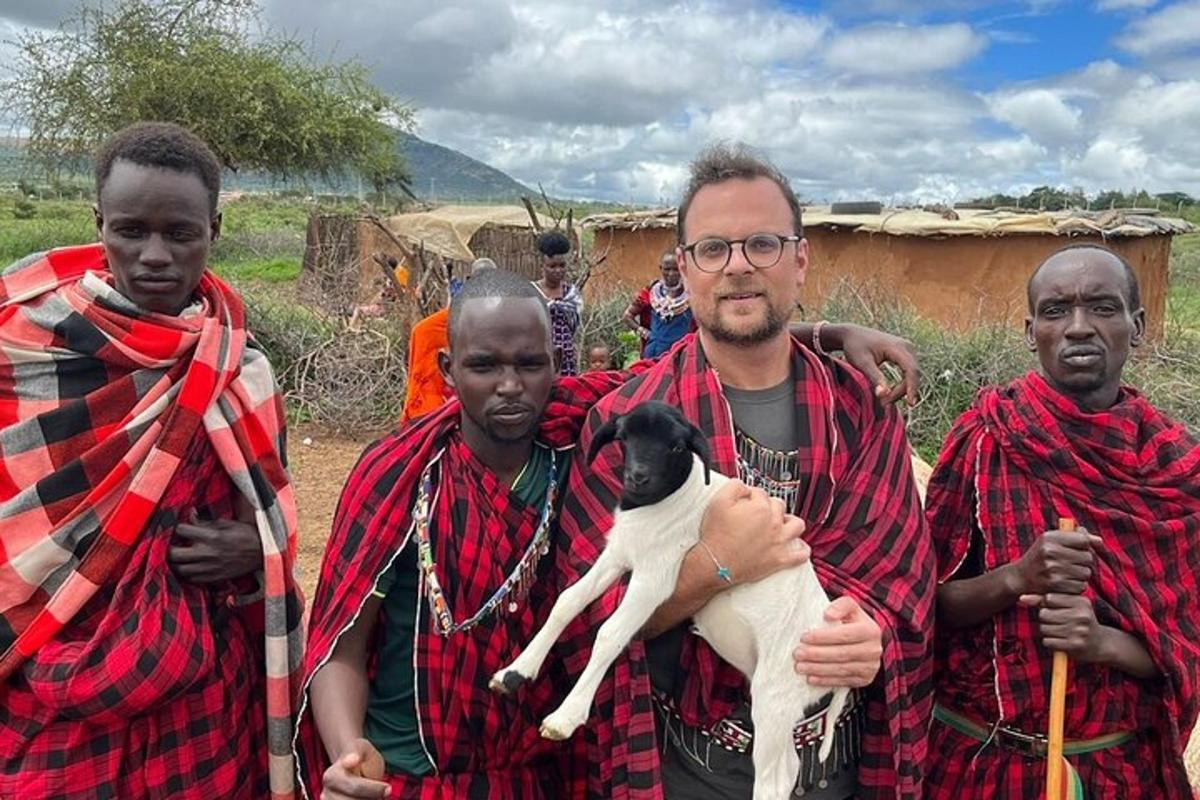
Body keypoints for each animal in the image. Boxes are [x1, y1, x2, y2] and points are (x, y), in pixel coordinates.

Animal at [492, 402, 849, 796]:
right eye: (624, 437)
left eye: (677, 446)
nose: (638, 477)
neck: (671, 502)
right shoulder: (618, 554)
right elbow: (567, 602)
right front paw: (515, 672)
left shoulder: (654, 579)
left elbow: (610, 633)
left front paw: (565, 717)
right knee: (789, 766)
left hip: (776, 691)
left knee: (775, 780)